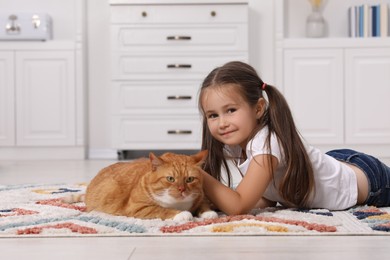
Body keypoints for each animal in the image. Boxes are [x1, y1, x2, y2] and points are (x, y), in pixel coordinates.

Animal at [84, 150, 218, 221]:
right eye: (170, 178)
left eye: (189, 179)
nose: (181, 189)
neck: (178, 204)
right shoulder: (137, 208)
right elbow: (161, 209)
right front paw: (182, 214)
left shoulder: (200, 196)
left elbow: (203, 204)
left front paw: (208, 212)